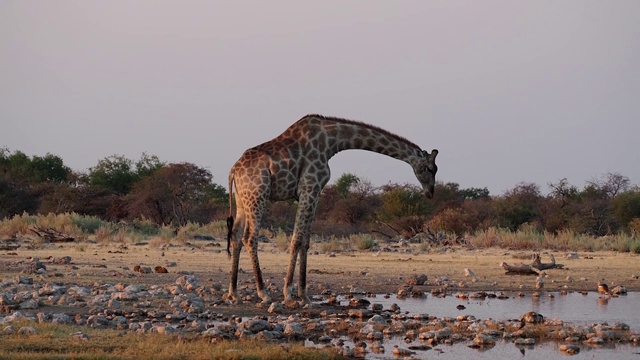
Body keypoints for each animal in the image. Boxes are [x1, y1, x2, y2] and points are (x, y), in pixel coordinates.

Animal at [226, 114, 440, 302]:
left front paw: (304, 295)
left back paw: (234, 293)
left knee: (236, 236)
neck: (332, 142)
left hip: (242, 200)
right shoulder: (309, 188)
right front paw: (288, 293)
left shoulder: (315, 192)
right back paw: (263, 293)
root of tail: (233, 171)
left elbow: (306, 241)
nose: (430, 192)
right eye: (430, 168)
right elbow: (296, 239)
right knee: (250, 238)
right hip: (258, 196)